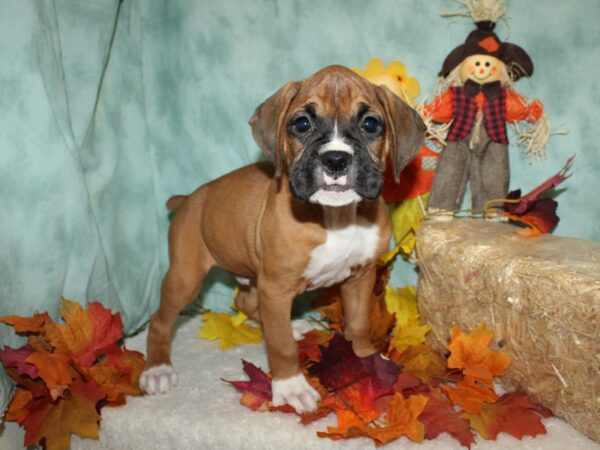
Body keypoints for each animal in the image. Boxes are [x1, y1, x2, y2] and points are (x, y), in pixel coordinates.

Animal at [139, 65, 424, 414]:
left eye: (370, 124)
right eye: (302, 124)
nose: (336, 159)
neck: (336, 218)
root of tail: (189, 199)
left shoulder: (360, 278)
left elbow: (358, 324)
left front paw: (368, 361)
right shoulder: (275, 287)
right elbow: (280, 345)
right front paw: (290, 387)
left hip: (250, 277)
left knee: (246, 303)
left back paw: (294, 325)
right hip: (185, 278)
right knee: (160, 321)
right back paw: (157, 369)